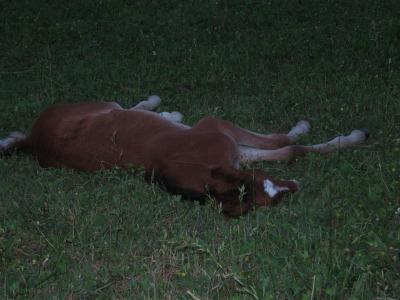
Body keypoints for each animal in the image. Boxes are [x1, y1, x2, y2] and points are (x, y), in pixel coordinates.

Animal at [0, 95, 368, 216]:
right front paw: (348, 135)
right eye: (270, 193)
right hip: (99, 104)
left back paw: (167, 113)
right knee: (126, 106)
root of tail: (34, 140)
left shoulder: (236, 154)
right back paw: (161, 107)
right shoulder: (217, 127)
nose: (295, 187)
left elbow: (286, 151)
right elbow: (286, 144)